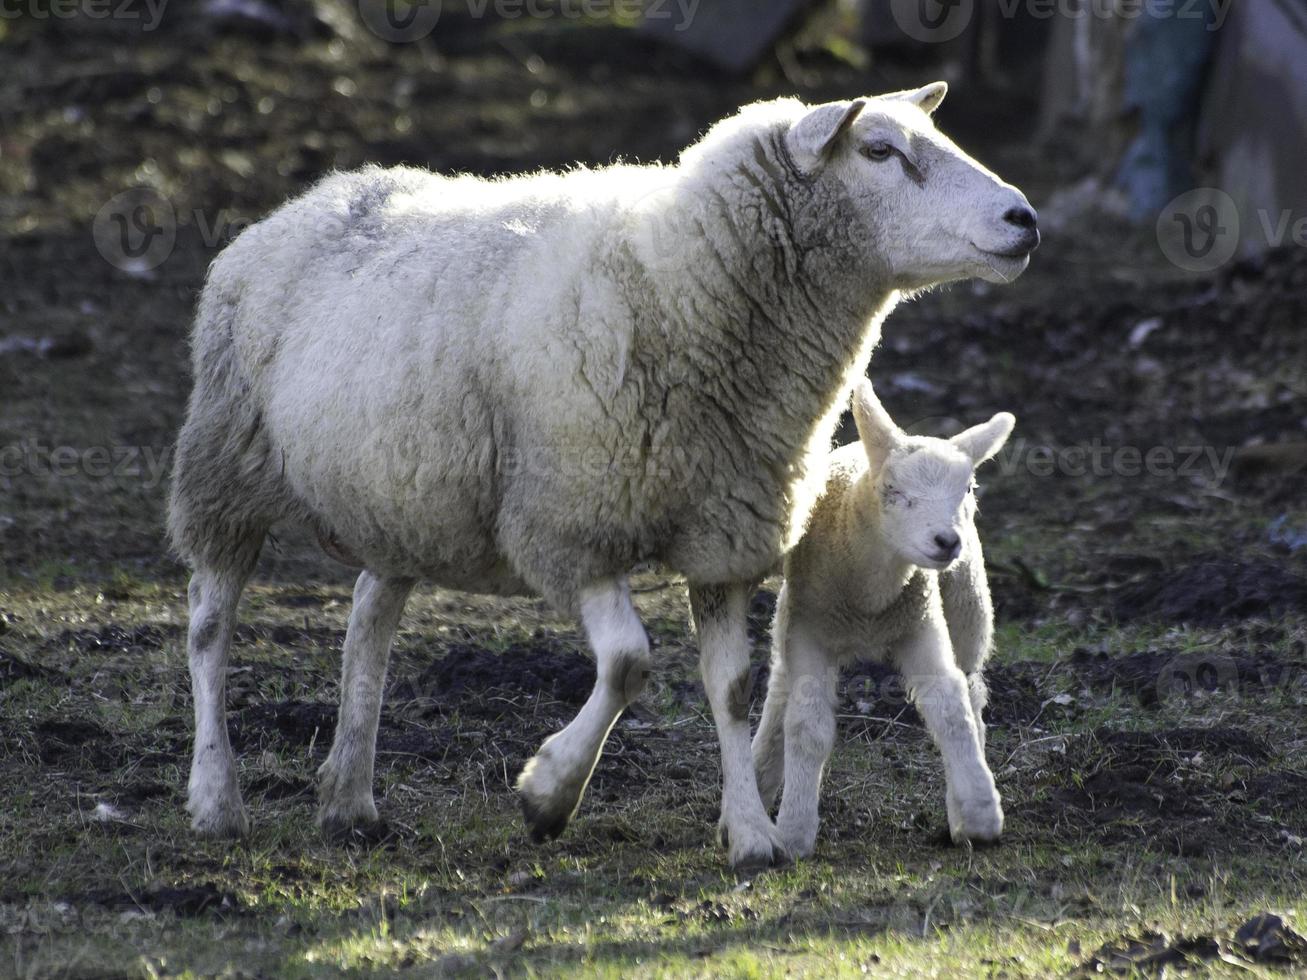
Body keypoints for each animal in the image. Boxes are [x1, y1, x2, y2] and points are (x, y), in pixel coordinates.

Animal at [752, 378, 1014, 857]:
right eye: (892, 489)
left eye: (968, 489)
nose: (947, 541)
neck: (869, 602)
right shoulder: (809, 630)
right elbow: (806, 724)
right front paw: (795, 831)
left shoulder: (920, 620)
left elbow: (951, 711)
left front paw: (980, 814)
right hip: (790, 619)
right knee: (780, 691)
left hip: (966, 607)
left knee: (970, 692)